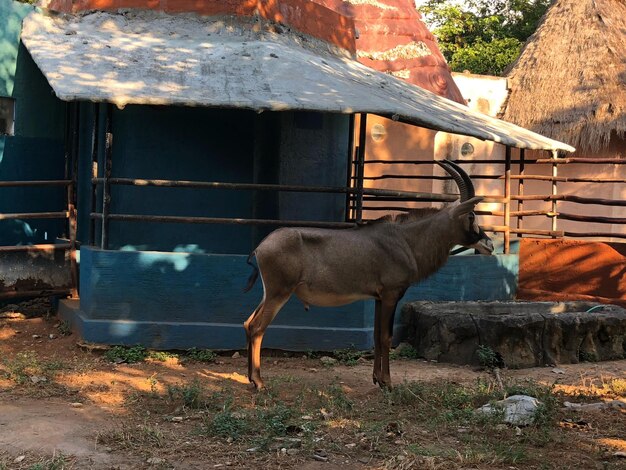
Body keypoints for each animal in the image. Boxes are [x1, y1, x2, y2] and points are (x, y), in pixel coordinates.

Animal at [244, 162, 492, 390]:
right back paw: (259, 382)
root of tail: (260, 247)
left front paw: (377, 379)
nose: (488, 244)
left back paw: (250, 378)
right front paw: (388, 383)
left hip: (269, 294)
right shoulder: (391, 295)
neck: (406, 240)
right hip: (279, 293)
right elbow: (386, 337)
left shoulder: (378, 298)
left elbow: (375, 335)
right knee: (257, 328)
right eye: (471, 216)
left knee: (248, 323)